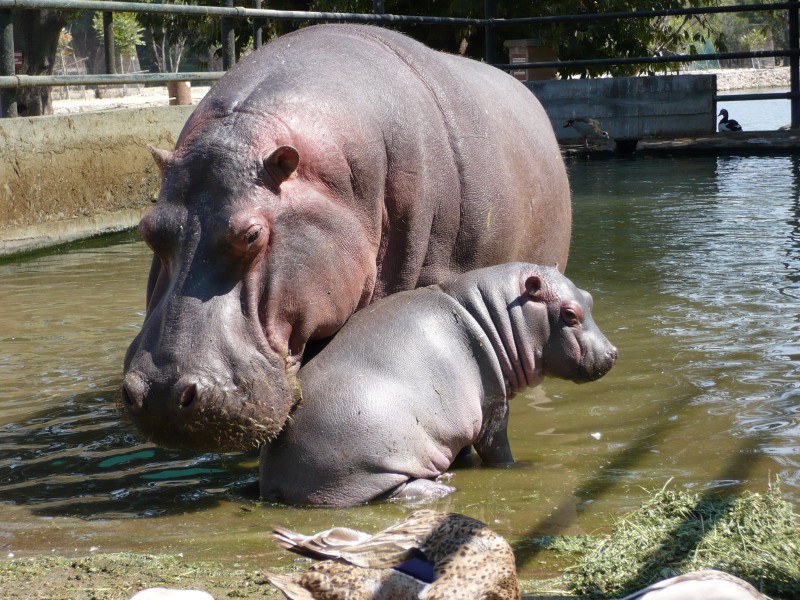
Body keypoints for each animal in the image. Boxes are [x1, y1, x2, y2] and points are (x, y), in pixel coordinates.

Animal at [260, 262, 616, 506]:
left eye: (589, 299)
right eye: (569, 314)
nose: (612, 352)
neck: (497, 311)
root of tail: (273, 475)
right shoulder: (493, 404)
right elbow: (497, 446)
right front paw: (518, 466)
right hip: (370, 463)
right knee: (394, 490)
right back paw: (444, 484)